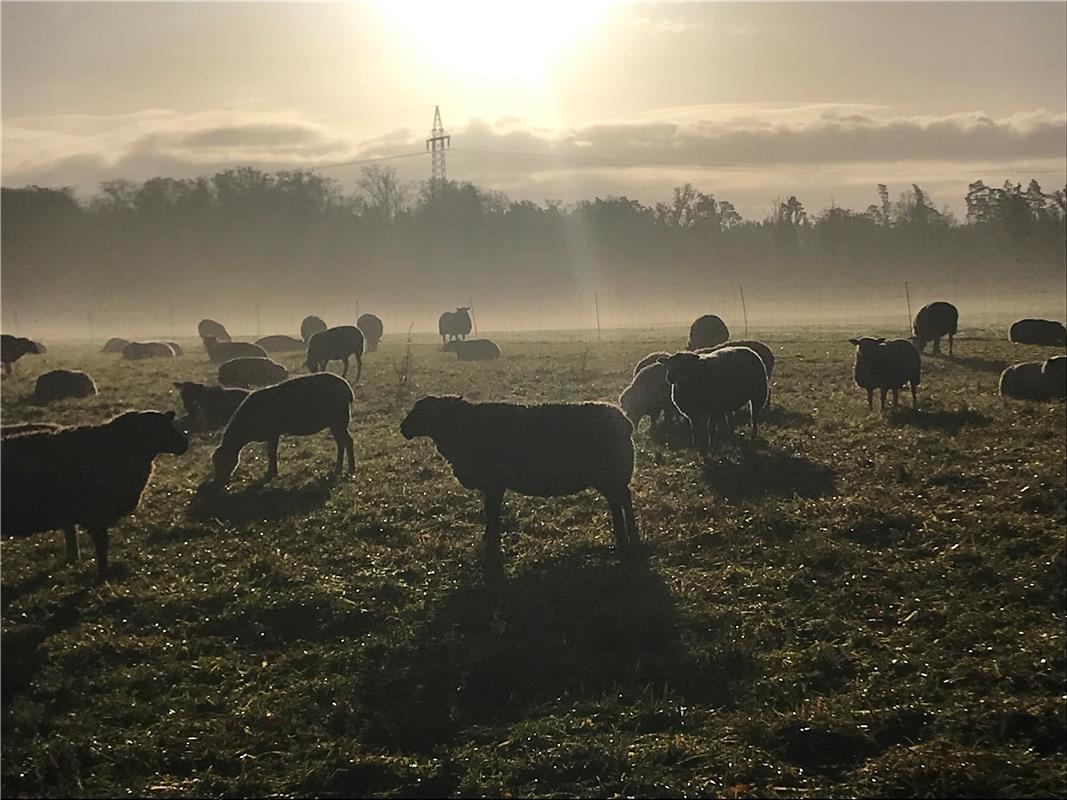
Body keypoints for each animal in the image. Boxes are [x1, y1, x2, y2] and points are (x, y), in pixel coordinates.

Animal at [1, 409, 188, 580]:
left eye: (169, 424)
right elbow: (102, 545)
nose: (184, 444)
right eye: (157, 428)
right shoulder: (97, 516)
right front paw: (104, 575)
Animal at [210, 373, 356, 486]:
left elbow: (271, 453)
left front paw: (271, 474)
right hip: (337, 421)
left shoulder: (272, 432)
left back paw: (349, 470)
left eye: (221, 462)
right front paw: (272, 473)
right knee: (343, 442)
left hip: (339, 419)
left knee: (347, 441)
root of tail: (347, 388)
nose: (219, 482)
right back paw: (340, 469)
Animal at [399, 396, 631, 558]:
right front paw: (490, 537)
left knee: (621, 499)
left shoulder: (494, 483)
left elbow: (491, 510)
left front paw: (490, 539)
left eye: (422, 412)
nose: (403, 428)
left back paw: (625, 534)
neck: (463, 428)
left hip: (611, 474)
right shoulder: (495, 484)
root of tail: (624, 420)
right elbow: (491, 510)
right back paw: (625, 531)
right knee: (620, 499)